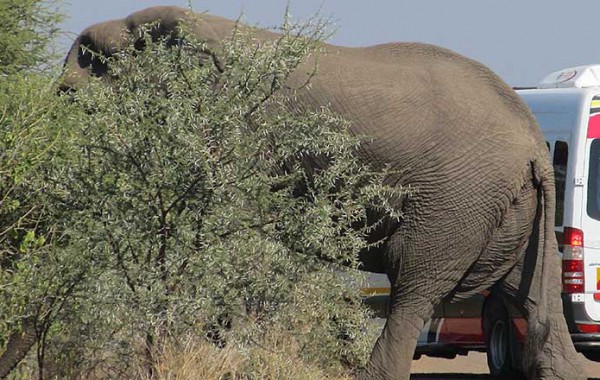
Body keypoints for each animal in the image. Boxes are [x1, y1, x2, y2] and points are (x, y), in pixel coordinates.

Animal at [2, 5, 584, 380]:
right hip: (508, 210)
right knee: (530, 301)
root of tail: (533, 142)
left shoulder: (238, 135)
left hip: (455, 204)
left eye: (75, 98)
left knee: (414, 288)